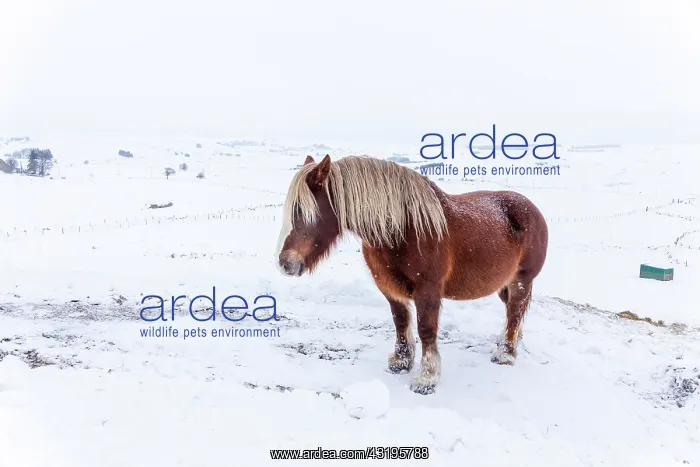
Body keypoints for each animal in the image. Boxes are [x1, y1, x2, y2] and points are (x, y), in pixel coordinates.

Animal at [276, 154, 548, 395]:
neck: (403, 228)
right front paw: (401, 361)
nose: (285, 263)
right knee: (514, 311)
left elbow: (426, 330)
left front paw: (426, 379)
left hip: (522, 280)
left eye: (301, 211)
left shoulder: (427, 291)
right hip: (505, 284)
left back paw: (505, 354)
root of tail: (532, 208)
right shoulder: (389, 287)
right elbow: (400, 321)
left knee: (514, 312)